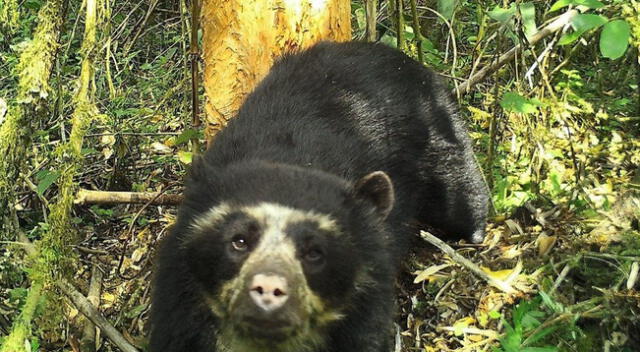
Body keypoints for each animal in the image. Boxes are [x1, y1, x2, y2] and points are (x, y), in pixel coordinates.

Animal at [150, 42, 490, 352]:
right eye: (239, 240)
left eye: (315, 252)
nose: (269, 288)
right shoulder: (179, 299)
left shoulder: (364, 304)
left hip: (435, 132)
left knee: (458, 190)